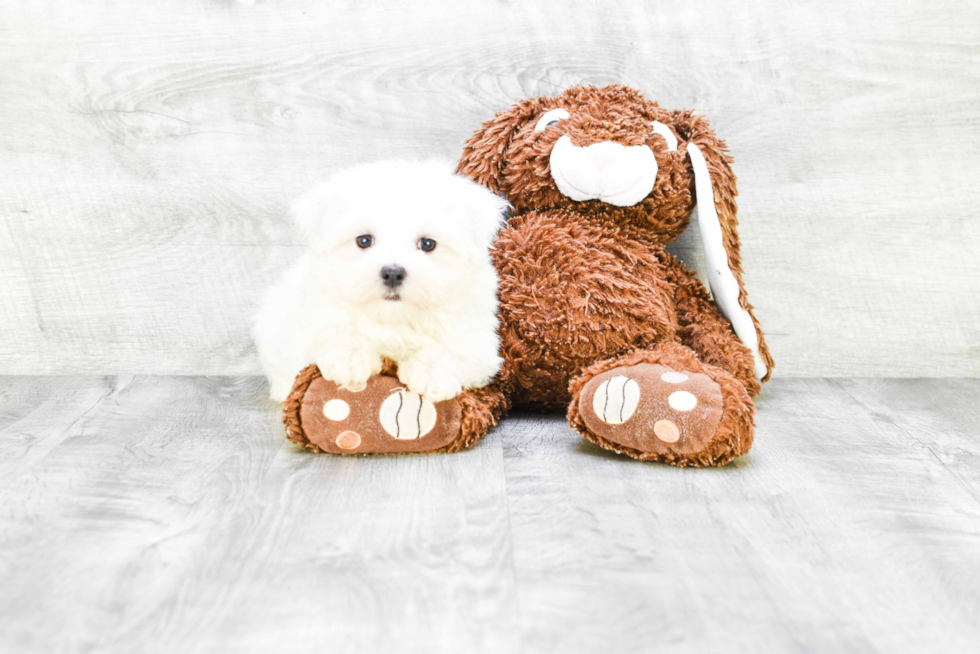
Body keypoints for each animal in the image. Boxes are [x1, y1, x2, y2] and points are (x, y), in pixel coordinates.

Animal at [255, 160, 506, 404]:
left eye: (427, 244)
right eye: (364, 240)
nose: (393, 273)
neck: (393, 320)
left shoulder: (478, 339)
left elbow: (456, 349)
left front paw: (432, 371)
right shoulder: (314, 312)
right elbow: (332, 328)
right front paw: (351, 356)